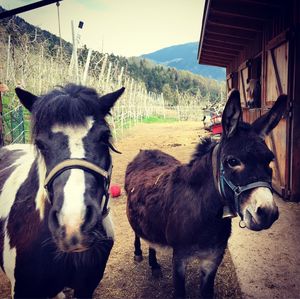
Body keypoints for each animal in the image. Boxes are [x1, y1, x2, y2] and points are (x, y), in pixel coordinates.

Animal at [125, 90, 288, 298]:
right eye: (232, 161)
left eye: (270, 160)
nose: (268, 213)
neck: (205, 215)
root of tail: (144, 151)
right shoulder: (179, 258)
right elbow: (180, 292)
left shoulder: (213, 259)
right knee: (137, 232)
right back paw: (138, 254)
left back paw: (154, 265)